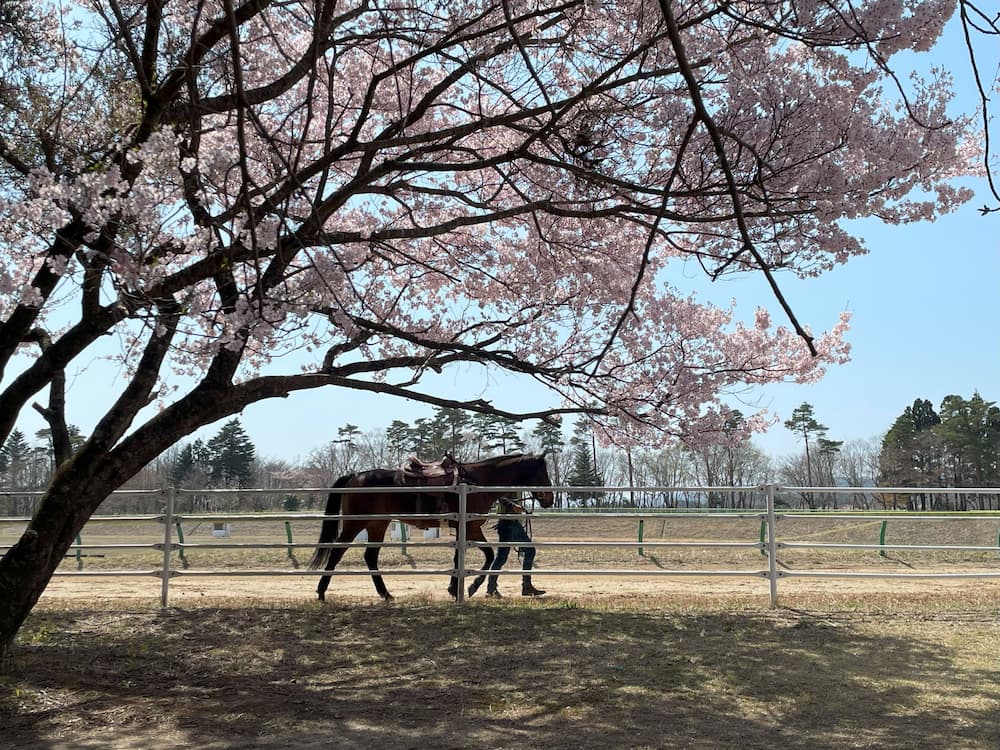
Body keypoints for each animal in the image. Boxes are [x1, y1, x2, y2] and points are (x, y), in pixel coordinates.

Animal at [308, 452, 556, 604]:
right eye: (541, 473)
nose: (550, 498)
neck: (475, 482)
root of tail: (355, 476)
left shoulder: (464, 528)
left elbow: (460, 558)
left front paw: (454, 588)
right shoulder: (471, 527)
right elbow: (488, 555)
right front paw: (471, 587)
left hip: (378, 525)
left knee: (370, 557)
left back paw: (386, 594)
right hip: (355, 523)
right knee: (337, 552)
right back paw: (321, 591)